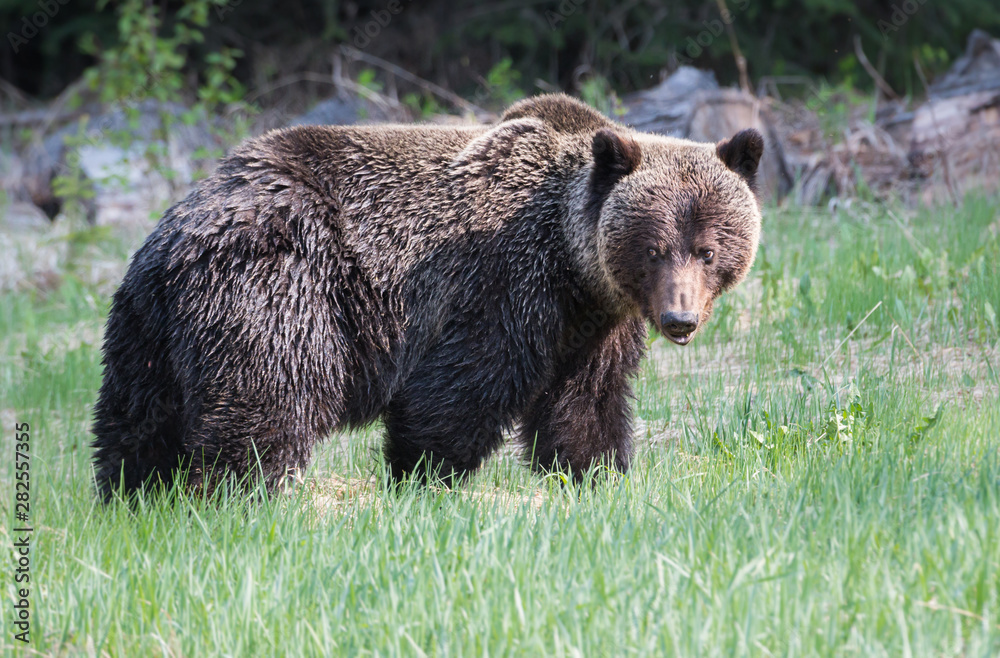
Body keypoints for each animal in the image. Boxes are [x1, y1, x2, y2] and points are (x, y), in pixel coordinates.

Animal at [91, 93, 763, 501]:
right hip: (281, 289)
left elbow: (585, 405)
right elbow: (461, 389)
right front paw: (423, 477)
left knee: (138, 418)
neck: (575, 266)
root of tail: (180, 228)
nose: (679, 319)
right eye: (653, 248)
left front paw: (596, 476)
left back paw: (138, 497)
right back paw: (241, 496)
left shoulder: (593, 323)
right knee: (264, 400)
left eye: (707, 249)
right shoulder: (503, 282)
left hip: (147, 328)